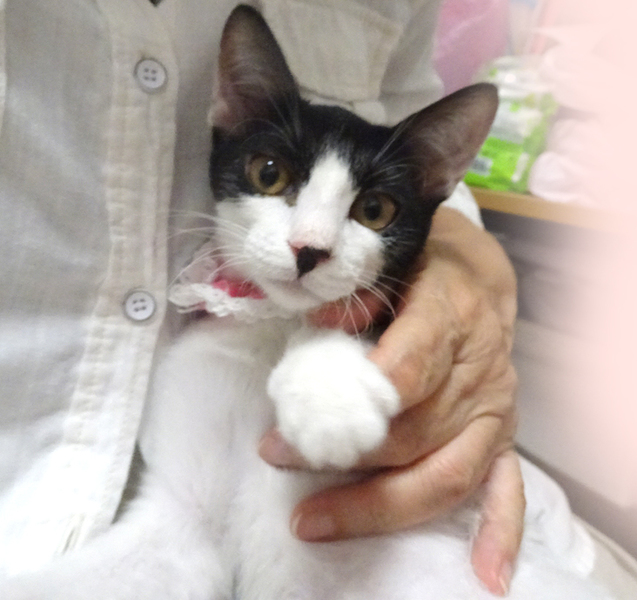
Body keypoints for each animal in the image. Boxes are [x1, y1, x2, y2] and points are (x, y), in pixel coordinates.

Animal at [0, 5, 612, 600]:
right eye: (269, 173)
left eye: (375, 210)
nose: (309, 249)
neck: (269, 324)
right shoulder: (184, 522)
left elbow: (354, 318)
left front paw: (330, 399)